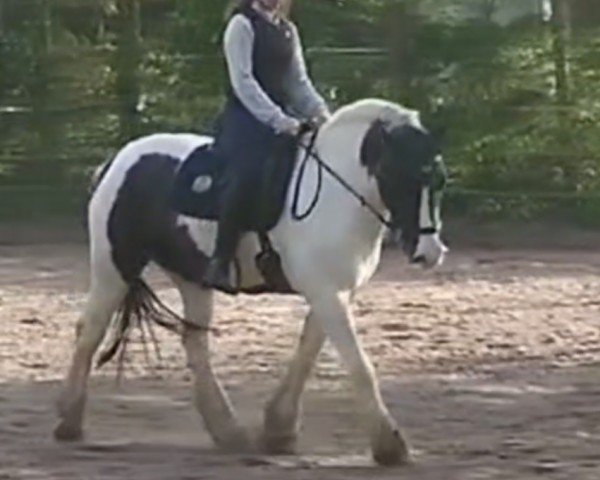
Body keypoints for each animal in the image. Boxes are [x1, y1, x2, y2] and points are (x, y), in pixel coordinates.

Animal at [55, 98, 446, 464]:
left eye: (438, 181)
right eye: (399, 174)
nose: (429, 252)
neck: (335, 196)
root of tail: (118, 160)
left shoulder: (335, 291)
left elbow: (307, 355)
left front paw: (279, 430)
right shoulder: (325, 292)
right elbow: (359, 365)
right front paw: (390, 446)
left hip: (191, 278)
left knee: (195, 344)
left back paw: (228, 431)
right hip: (114, 265)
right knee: (90, 331)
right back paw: (68, 423)